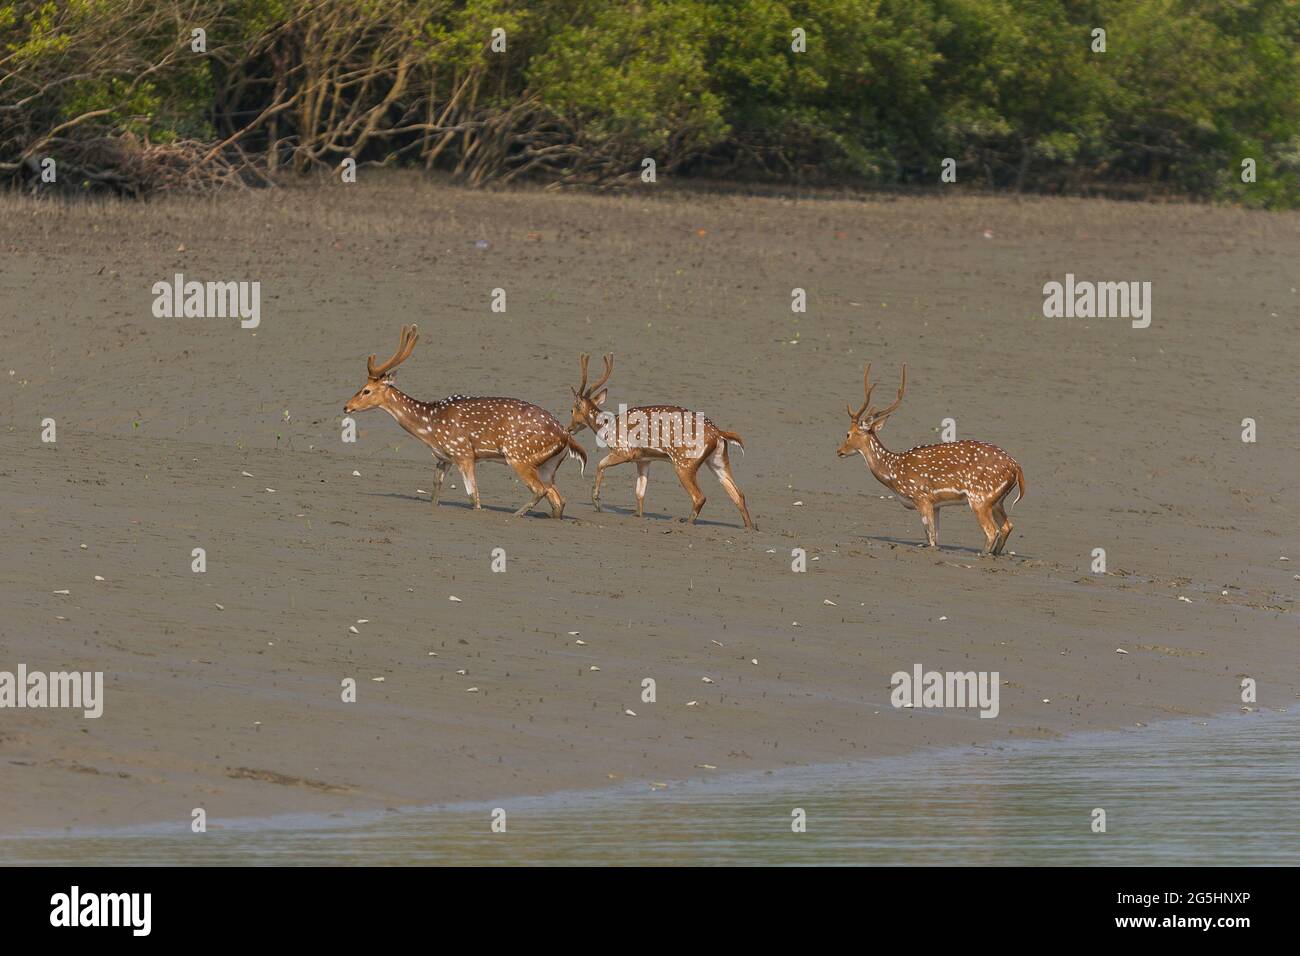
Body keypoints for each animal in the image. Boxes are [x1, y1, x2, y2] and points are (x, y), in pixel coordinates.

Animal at [345, 325, 590, 520]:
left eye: (366, 390)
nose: (346, 406)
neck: (430, 426)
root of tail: (565, 435)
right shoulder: (444, 457)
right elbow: (435, 491)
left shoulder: (464, 453)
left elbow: (474, 497)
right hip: (548, 465)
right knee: (558, 498)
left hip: (519, 455)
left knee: (540, 491)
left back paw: (514, 515)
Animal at [564, 351, 759, 530]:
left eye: (572, 410)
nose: (569, 428)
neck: (608, 427)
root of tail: (719, 433)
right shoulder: (644, 459)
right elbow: (640, 492)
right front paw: (638, 515)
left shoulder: (625, 451)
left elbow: (600, 465)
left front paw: (597, 502)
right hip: (718, 460)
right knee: (738, 494)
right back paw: (750, 528)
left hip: (684, 463)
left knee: (700, 497)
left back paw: (687, 523)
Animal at [842, 364, 1024, 561]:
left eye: (848, 434)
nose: (839, 451)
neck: (893, 472)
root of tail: (1016, 467)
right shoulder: (936, 504)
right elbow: (936, 539)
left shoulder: (922, 497)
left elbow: (929, 537)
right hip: (997, 500)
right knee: (1007, 526)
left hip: (980, 498)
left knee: (992, 531)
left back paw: (982, 555)